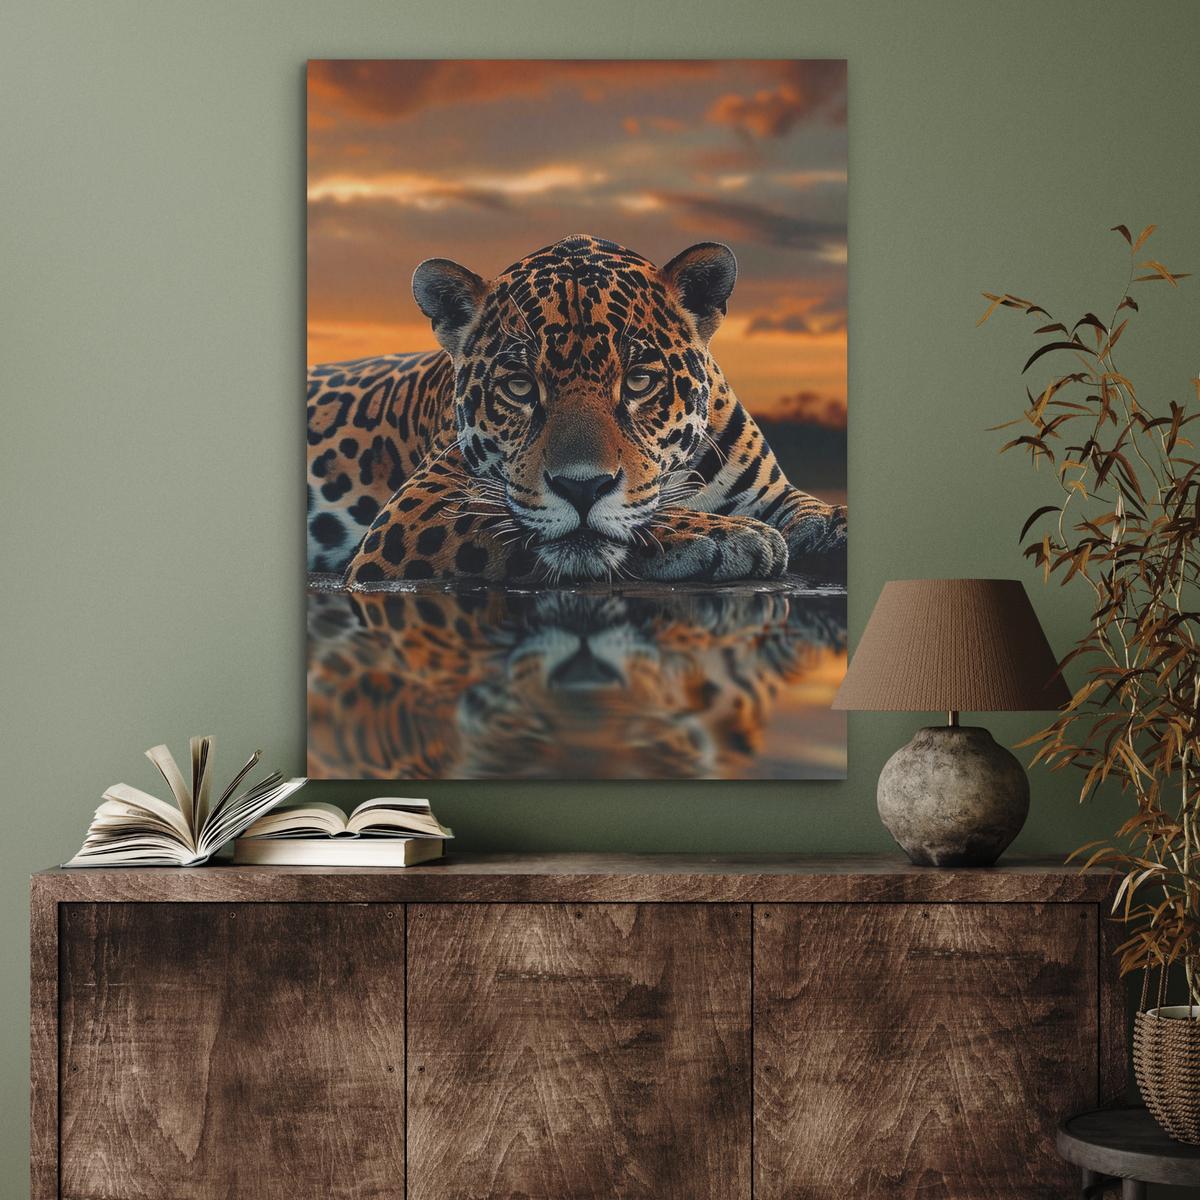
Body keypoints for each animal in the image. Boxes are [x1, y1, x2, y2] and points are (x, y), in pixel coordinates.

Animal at [306, 234, 846, 585]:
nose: (581, 488)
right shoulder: (415, 509)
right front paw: (728, 534)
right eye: (520, 386)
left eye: (639, 381)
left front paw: (833, 526)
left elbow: (804, 505)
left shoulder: (771, 491)